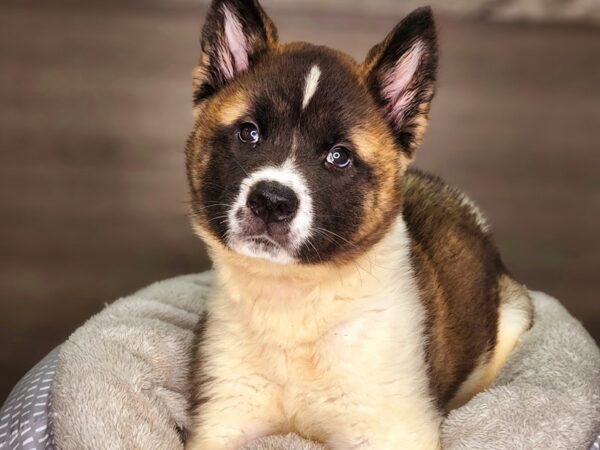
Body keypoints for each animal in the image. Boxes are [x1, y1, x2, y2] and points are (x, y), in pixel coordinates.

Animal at [185, 1, 532, 448]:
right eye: (249, 133)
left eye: (339, 156)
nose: (271, 202)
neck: (295, 304)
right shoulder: (222, 418)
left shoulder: (392, 431)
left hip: (512, 317)